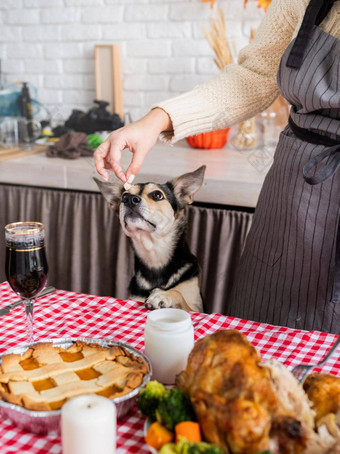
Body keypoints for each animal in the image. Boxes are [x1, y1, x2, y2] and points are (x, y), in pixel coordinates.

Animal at [93, 167, 206, 312]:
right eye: (123, 196)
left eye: (157, 195)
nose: (129, 199)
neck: (154, 256)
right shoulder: (135, 297)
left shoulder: (196, 307)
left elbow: (178, 294)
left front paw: (163, 295)